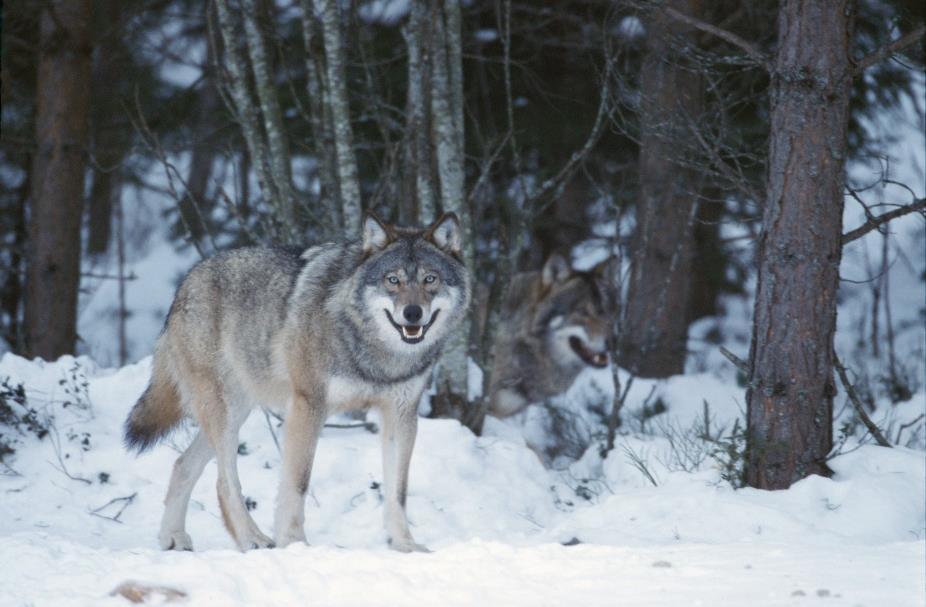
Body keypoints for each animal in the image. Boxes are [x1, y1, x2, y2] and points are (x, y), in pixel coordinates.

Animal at [123, 211, 472, 552]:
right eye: (393, 280)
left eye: (430, 279)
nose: (412, 313)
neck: (377, 355)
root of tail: (187, 281)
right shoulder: (308, 406)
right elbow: (298, 483)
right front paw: (293, 543)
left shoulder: (401, 415)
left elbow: (398, 491)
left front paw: (405, 544)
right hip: (223, 414)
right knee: (224, 482)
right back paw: (253, 539)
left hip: (234, 413)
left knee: (182, 465)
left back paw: (173, 537)